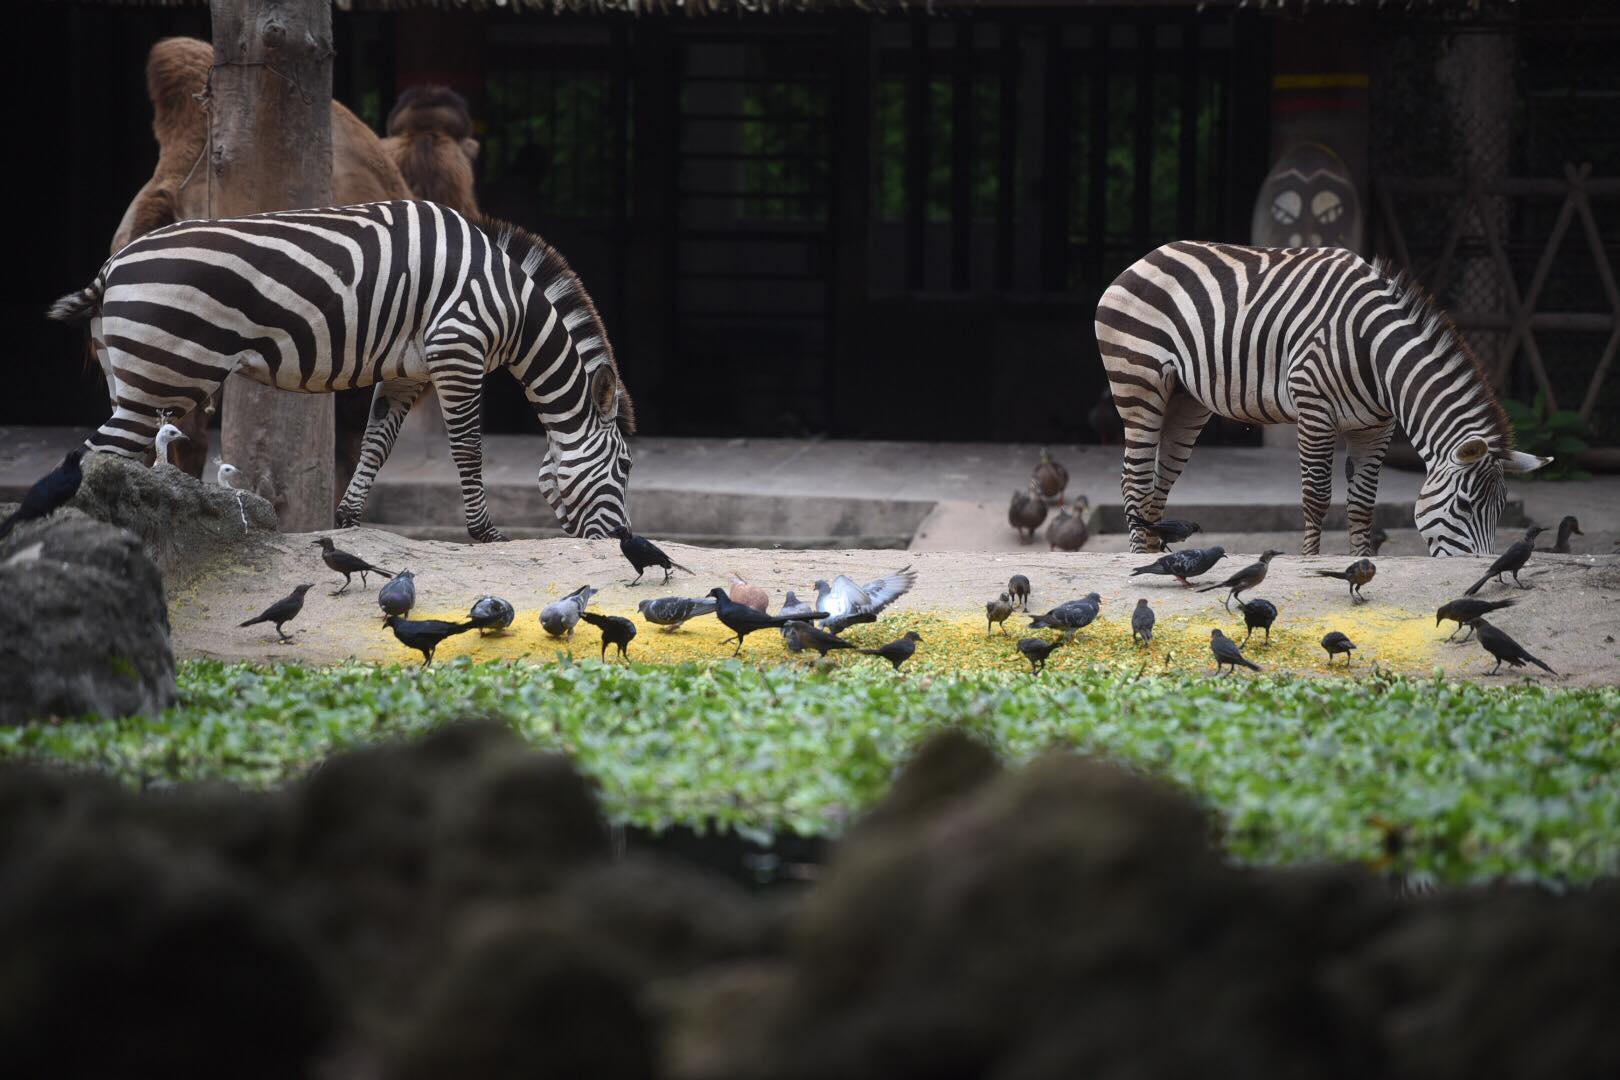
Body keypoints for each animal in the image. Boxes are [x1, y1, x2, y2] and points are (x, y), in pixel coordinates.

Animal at [50, 198, 631, 540]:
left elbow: (376, 446)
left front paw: (348, 523)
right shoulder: (457, 349)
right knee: (96, 454)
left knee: (112, 460)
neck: (511, 303)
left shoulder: (407, 372)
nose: (624, 542)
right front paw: (486, 536)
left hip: (131, 381)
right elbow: (468, 450)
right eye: (624, 467)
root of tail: (111, 267)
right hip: (159, 378)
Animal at [1095, 242, 1548, 557]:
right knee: (1134, 479)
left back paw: (1153, 554)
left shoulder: (1377, 427)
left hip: (1186, 401)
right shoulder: (1315, 410)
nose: (1481, 567)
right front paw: (1311, 560)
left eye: (1501, 509)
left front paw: (1363, 562)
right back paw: (1137, 560)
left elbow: (1363, 504)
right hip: (1138, 383)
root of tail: (1150, 255)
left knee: (1157, 483)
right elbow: (1317, 497)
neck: (1375, 353)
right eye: (1466, 505)